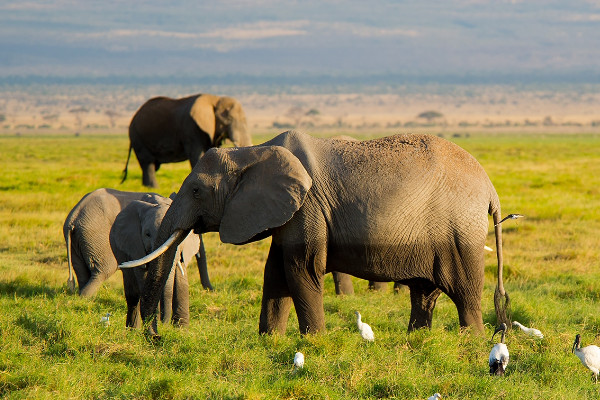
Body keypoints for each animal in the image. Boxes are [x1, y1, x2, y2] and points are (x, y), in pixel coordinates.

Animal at [62, 188, 213, 296]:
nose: (209, 290)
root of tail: (73, 216)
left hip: (78, 240)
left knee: (82, 272)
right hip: (96, 237)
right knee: (103, 270)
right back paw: (86, 298)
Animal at [109, 195, 199, 328]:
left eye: (181, 235)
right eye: (147, 234)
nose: (164, 324)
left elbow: (181, 281)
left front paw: (181, 329)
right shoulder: (135, 245)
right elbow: (144, 277)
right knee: (132, 293)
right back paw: (133, 329)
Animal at [120, 93, 252, 188]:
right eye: (228, 119)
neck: (215, 99)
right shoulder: (191, 128)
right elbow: (197, 155)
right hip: (137, 135)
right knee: (147, 162)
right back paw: (152, 188)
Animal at [129, 130, 508, 334]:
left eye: (196, 191)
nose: (154, 335)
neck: (253, 152)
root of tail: (490, 188)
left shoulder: (308, 205)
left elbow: (301, 268)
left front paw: (312, 340)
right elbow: (275, 271)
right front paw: (269, 340)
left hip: (458, 231)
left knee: (463, 291)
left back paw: (473, 342)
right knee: (425, 292)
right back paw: (417, 341)